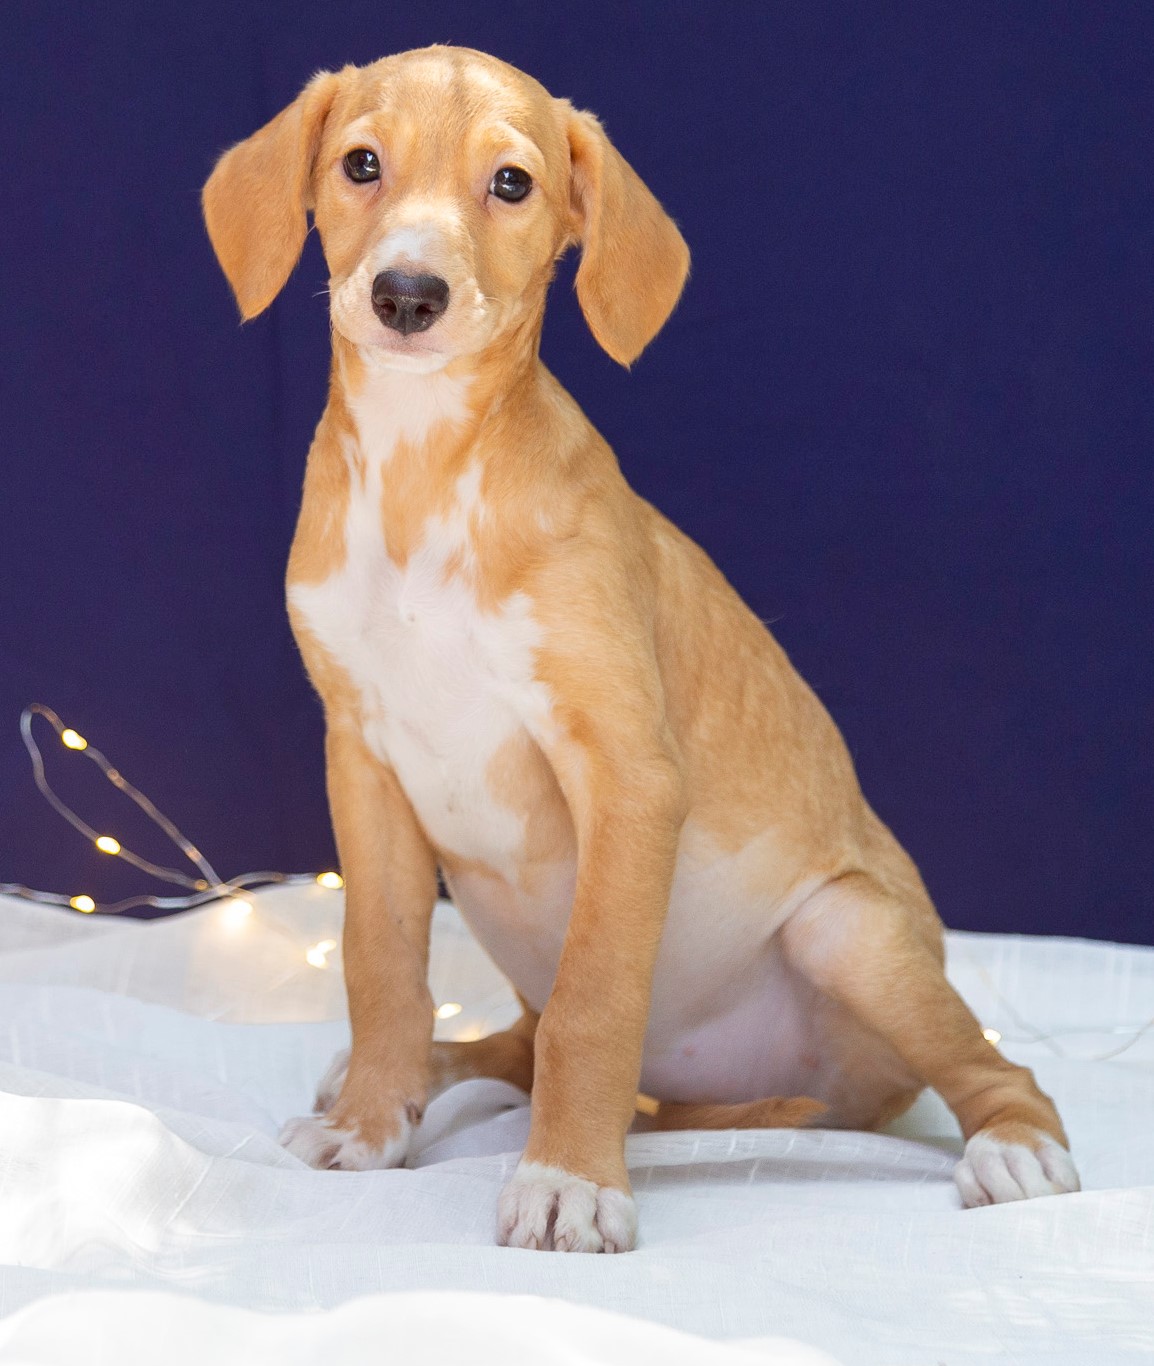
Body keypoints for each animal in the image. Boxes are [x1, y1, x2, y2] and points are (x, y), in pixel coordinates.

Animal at [202, 48, 1076, 1251]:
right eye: (360, 164)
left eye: (511, 184)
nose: (407, 295)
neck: (426, 476)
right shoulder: (362, 764)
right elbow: (380, 967)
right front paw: (371, 1126)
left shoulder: (625, 771)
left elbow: (595, 1001)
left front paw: (568, 1180)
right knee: (513, 1045)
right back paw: (421, 1076)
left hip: (848, 932)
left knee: (999, 1069)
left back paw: (1014, 1148)